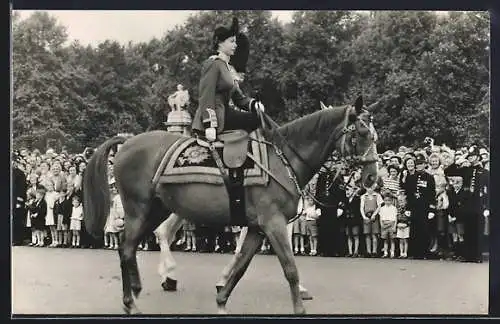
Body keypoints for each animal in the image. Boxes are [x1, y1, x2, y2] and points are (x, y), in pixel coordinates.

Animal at [83, 95, 378, 316]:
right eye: (362, 133)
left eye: (374, 136)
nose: (372, 177)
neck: (282, 158)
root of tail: (127, 141)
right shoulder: (273, 224)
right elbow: (290, 268)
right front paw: (299, 308)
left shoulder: (258, 228)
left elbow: (241, 264)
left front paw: (221, 299)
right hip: (139, 210)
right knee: (127, 248)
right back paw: (134, 299)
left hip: (158, 209)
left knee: (142, 241)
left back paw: (145, 287)